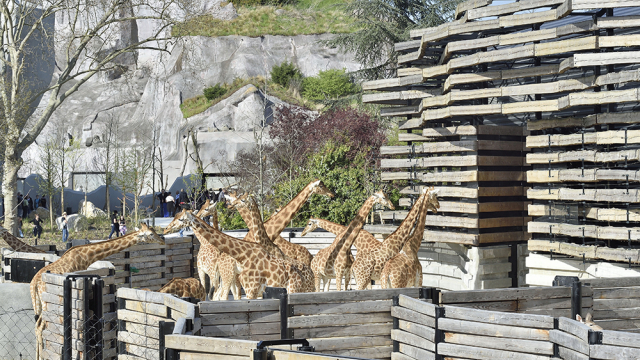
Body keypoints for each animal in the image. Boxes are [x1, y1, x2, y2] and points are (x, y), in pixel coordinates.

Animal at [31, 224, 164, 358]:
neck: (88, 256)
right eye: (151, 234)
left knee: (37, 326)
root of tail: (33, 284)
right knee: (41, 327)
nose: (162, 240)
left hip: (39, 303)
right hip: (45, 303)